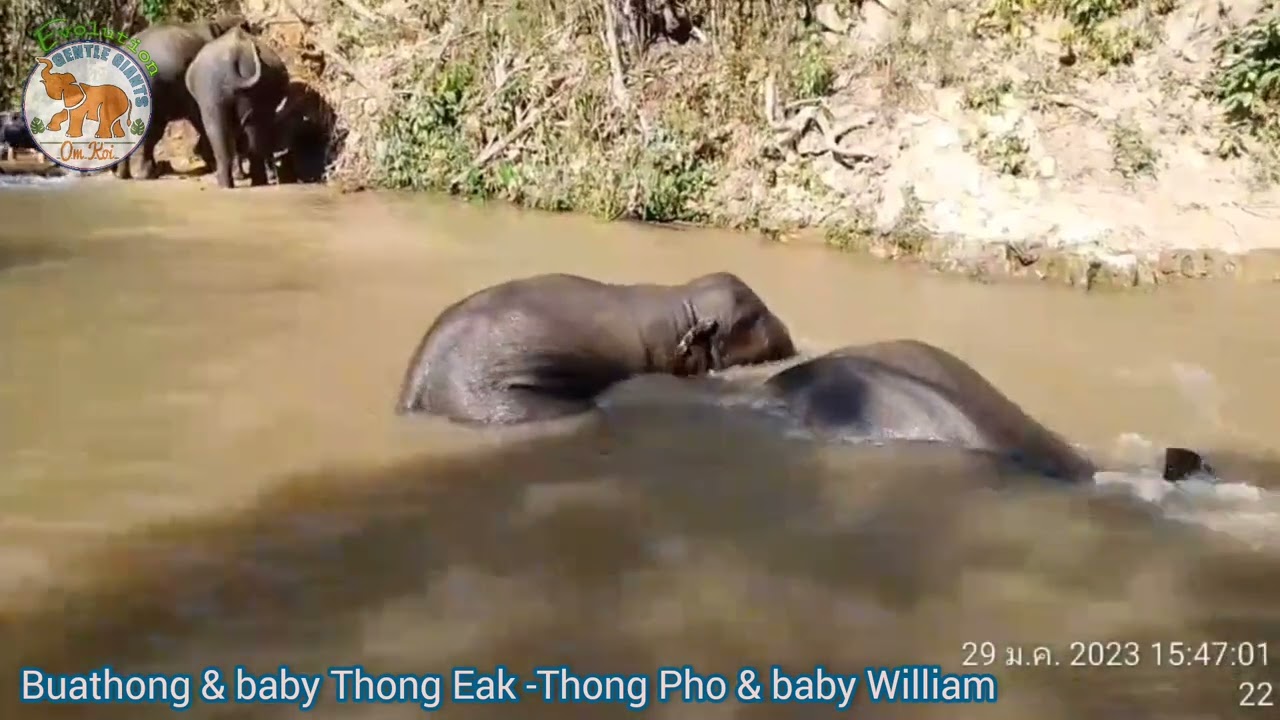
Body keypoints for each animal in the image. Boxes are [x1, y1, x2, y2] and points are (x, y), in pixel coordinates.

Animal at [185, 26, 290, 188]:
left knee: (220, 134)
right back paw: (257, 181)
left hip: (213, 90)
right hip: (246, 89)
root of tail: (233, 56)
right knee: (251, 132)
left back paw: (227, 184)